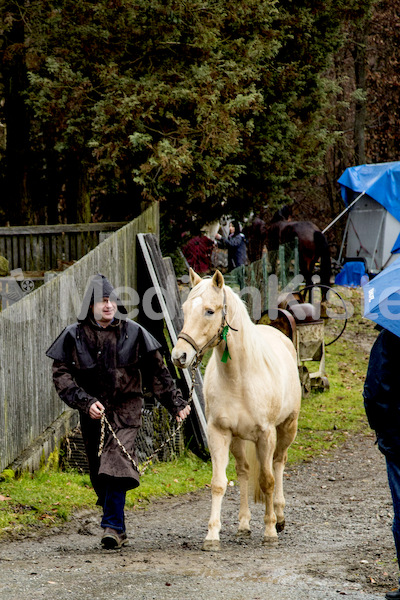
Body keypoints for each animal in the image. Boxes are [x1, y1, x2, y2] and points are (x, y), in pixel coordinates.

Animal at [172, 270, 300, 552]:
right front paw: (212, 536)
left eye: (209, 311)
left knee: (278, 464)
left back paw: (279, 516)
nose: (179, 356)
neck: (239, 377)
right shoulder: (219, 433)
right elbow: (219, 483)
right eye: (185, 310)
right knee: (243, 471)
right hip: (239, 440)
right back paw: (243, 525)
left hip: (287, 429)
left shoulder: (266, 435)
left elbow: (267, 481)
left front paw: (270, 531)